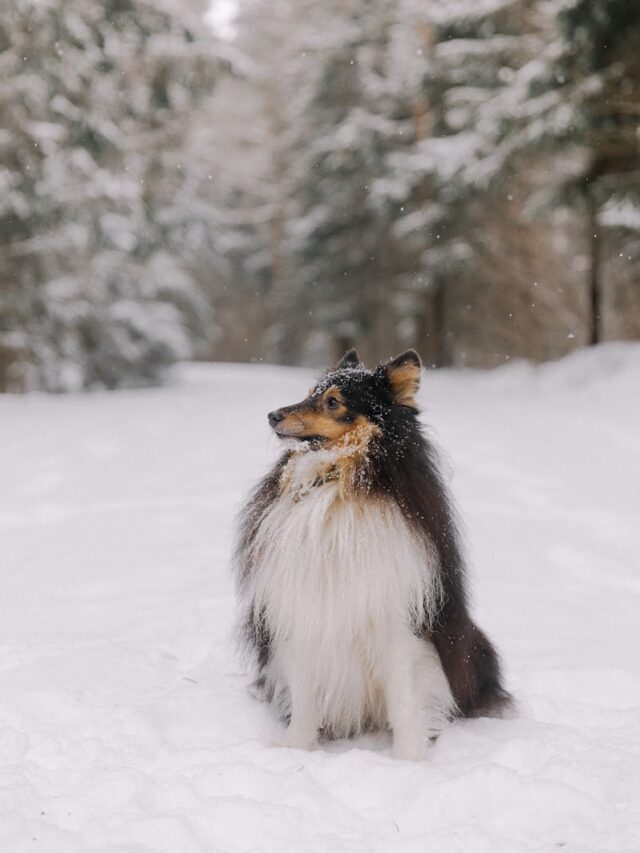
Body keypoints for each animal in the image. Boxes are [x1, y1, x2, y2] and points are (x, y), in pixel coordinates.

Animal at [235, 348, 510, 760]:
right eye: (308, 393)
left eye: (333, 402)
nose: (272, 415)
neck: (339, 482)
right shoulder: (301, 613)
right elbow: (304, 697)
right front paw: (297, 750)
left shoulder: (398, 623)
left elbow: (405, 700)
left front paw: (408, 760)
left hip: (472, 644)